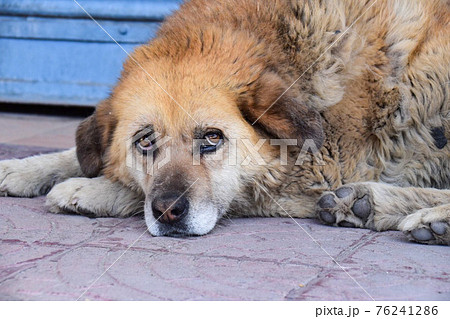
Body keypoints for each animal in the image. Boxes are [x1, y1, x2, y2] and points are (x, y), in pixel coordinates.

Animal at [0, 0, 450, 245]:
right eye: (144, 141)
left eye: (213, 138)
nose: (168, 212)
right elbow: (74, 154)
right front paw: (22, 168)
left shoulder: (310, 176)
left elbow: (227, 193)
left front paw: (87, 190)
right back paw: (370, 205)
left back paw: (425, 218)